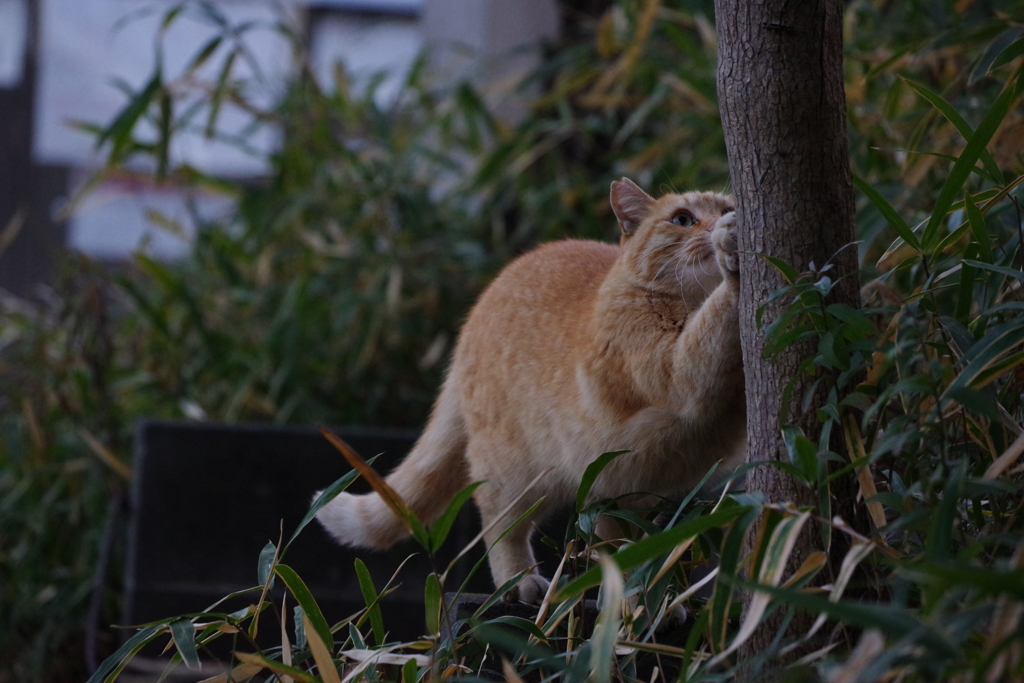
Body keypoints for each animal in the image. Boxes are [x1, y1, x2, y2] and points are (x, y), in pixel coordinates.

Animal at [315, 179, 749, 602]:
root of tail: (471, 323)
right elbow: (717, 319)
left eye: (726, 208)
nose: (718, 224)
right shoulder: (682, 372)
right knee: (502, 527)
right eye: (682, 219)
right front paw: (731, 254)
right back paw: (522, 583)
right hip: (519, 474)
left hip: (617, 491)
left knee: (619, 545)